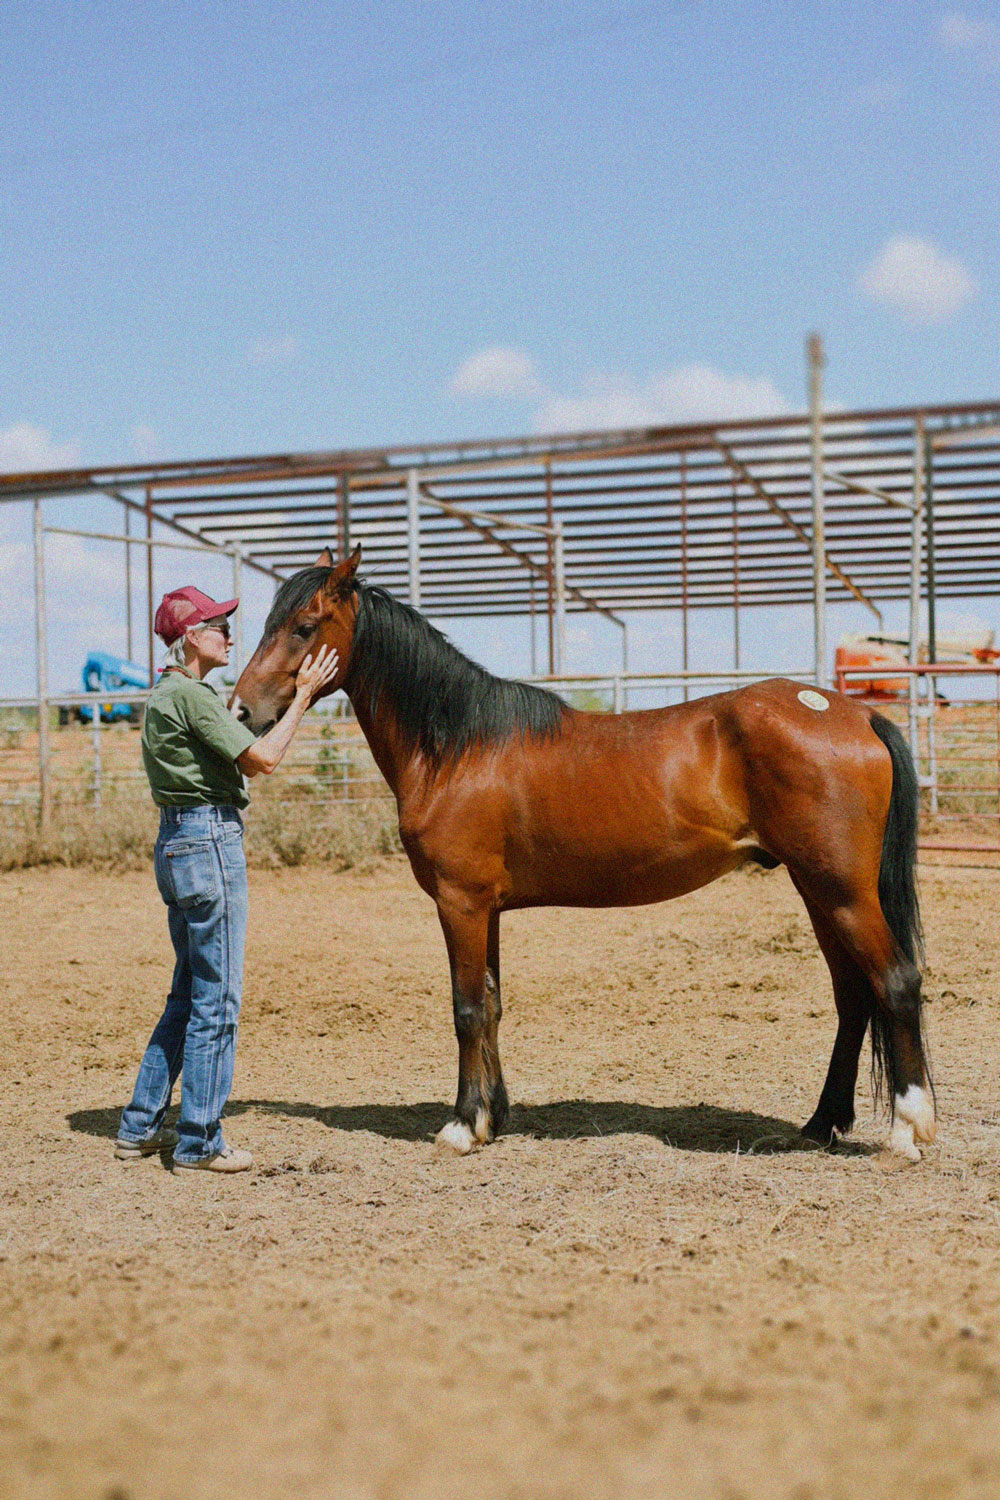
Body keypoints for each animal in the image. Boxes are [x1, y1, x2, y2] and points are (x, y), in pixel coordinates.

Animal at [231, 546, 935, 1162]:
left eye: (303, 626)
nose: (242, 709)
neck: (456, 748)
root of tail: (854, 715)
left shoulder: (461, 902)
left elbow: (465, 1009)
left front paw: (460, 1127)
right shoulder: (487, 909)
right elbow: (492, 1004)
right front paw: (492, 1117)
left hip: (841, 890)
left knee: (896, 982)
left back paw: (907, 1132)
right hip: (818, 891)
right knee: (853, 996)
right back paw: (820, 1124)